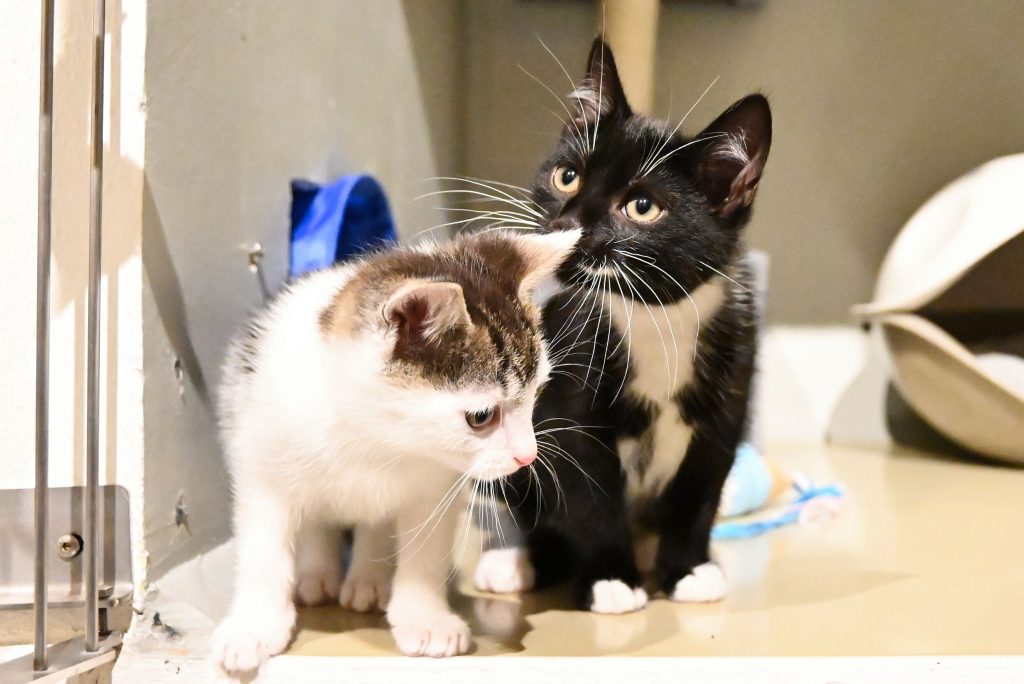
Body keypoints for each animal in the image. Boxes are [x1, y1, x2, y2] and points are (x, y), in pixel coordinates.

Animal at [211, 227, 579, 673]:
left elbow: (424, 552)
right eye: (481, 417)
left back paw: (368, 579)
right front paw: (254, 627)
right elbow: (263, 549)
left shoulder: (435, 487)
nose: (528, 456)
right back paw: (317, 574)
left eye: (537, 392)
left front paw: (426, 619)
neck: (376, 437)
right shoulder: (260, 464)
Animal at [474, 38, 772, 613]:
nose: (566, 224)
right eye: (567, 176)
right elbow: (589, 496)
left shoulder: (729, 394)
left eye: (642, 206)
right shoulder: (570, 396)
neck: (654, 317)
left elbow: (699, 492)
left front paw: (688, 569)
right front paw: (611, 577)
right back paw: (519, 560)